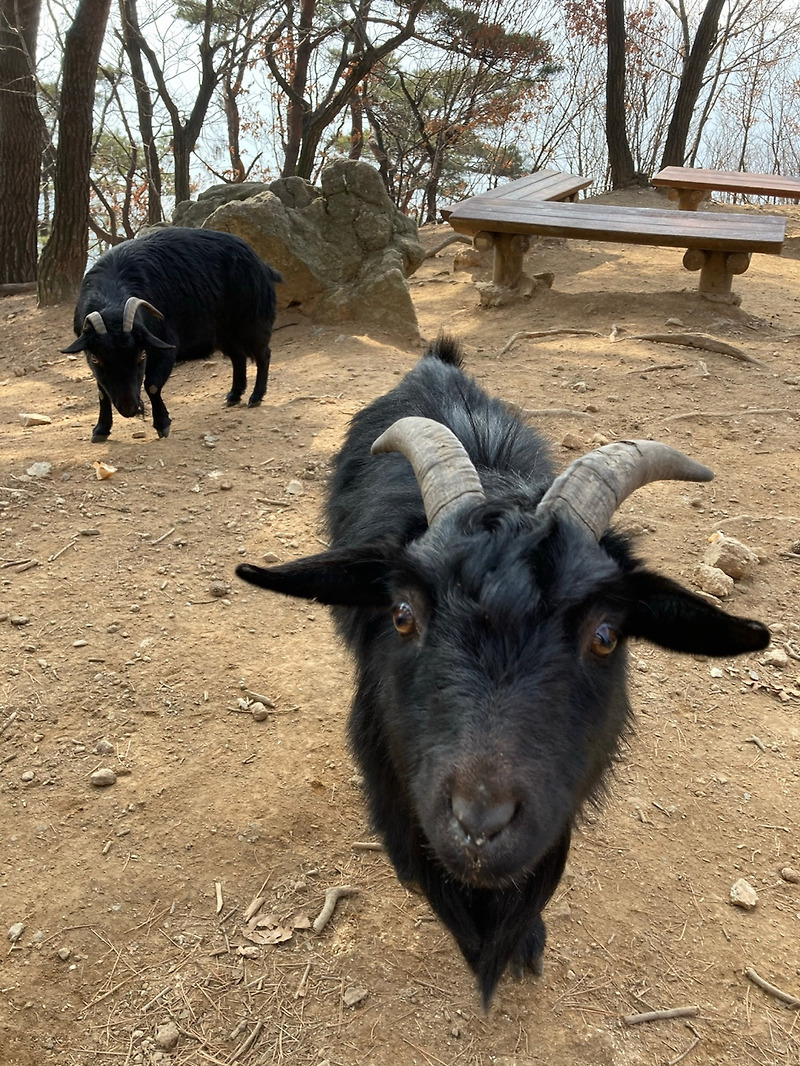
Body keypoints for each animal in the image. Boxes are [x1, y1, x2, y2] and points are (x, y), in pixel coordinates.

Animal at [62, 227, 281, 439]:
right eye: (97, 358)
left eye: (142, 355)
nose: (129, 408)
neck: (113, 288)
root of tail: (261, 264)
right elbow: (102, 392)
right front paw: (100, 430)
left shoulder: (164, 347)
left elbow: (152, 385)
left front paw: (163, 424)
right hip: (225, 334)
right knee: (238, 358)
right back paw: (234, 395)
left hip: (252, 323)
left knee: (263, 355)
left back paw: (255, 397)